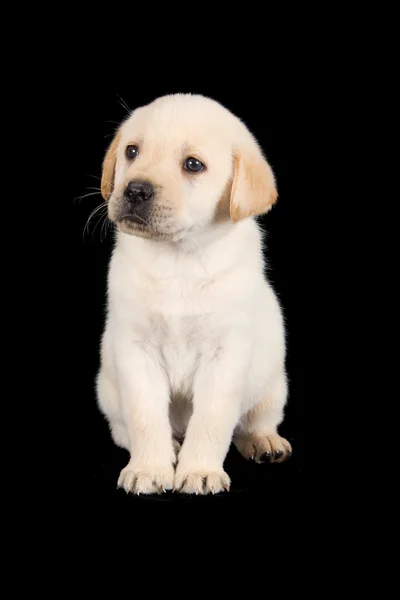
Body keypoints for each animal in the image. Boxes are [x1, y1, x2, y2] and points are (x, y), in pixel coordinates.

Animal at [95, 94, 292, 494]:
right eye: (132, 151)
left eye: (193, 165)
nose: (135, 190)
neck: (179, 258)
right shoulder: (136, 350)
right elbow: (145, 418)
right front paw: (149, 468)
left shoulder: (225, 355)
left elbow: (212, 421)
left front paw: (200, 470)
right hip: (107, 389)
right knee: (123, 429)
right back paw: (169, 447)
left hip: (274, 384)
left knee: (254, 421)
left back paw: (264, 441)